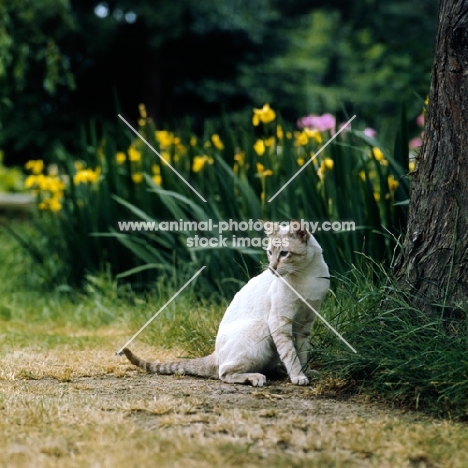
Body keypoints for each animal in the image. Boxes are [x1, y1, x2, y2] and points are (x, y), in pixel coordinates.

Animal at [122, 221, 330, 386]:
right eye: (270, 252)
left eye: (285, 254)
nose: (272, 268)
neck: (306, 275)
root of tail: (214, 353)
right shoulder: (280, 321)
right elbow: (291, 354)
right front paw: (298, 377)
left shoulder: (306, 322)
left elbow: (302, 352)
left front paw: (306, 372)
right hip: (260, 326)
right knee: (224, 373)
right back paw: (256, 377)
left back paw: (278, 371)